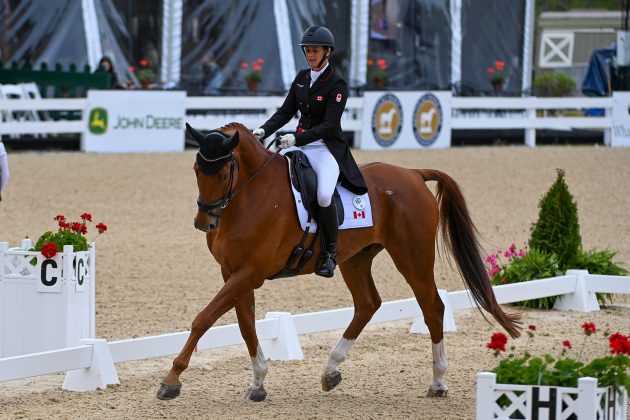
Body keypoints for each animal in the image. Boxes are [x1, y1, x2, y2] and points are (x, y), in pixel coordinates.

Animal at [156, 122, 521, 401]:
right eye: (196, 170)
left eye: (223, 172)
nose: (204, 222)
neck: (249, 196)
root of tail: (413, 174)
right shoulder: (233, 272)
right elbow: (246, 326)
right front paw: (258, 382)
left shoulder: (250, 273)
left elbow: (204, 319)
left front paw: (171, 380)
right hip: (356, 259)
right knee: (368, 304)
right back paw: (331, 371)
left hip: (412, 257)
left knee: (432, 307)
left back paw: (438, 382)